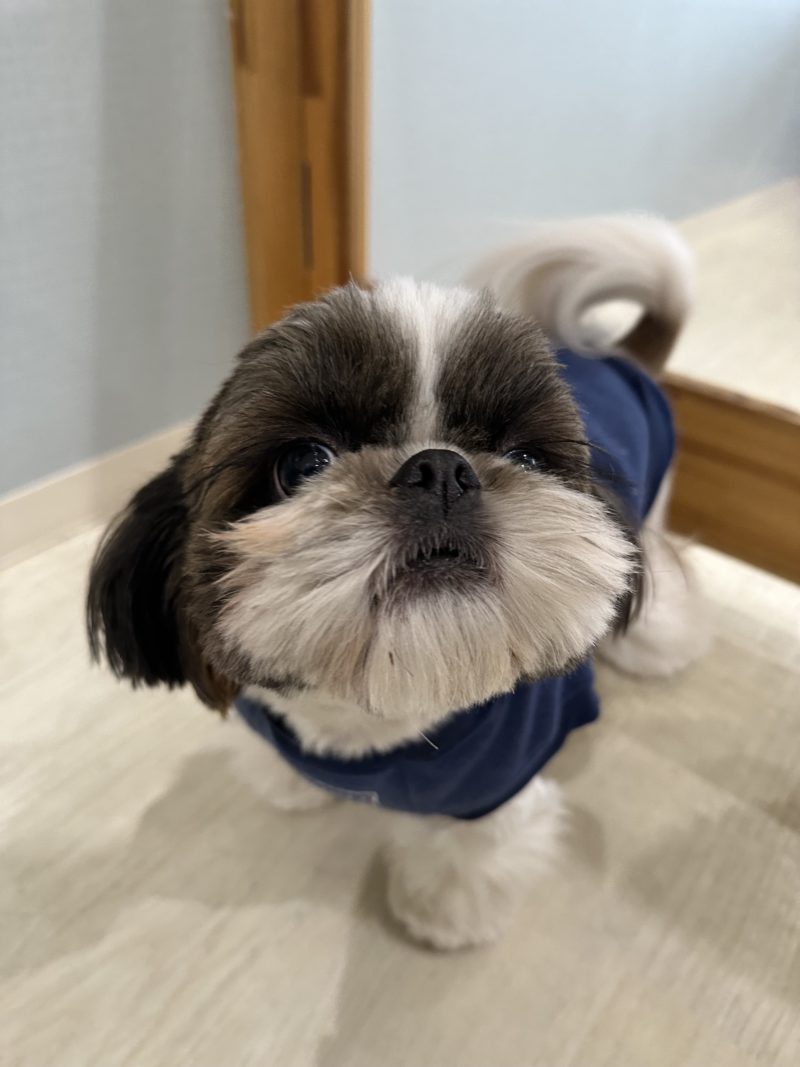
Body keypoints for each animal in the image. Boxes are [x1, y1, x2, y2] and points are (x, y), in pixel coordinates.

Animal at [87, 215, 704, 949]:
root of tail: (622, 360)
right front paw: (291, 784)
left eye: (526, 457)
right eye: (302, 463)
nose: (441, 469)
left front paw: (445, 914)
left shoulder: (498, 779)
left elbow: (470, 848)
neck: (374, 722)